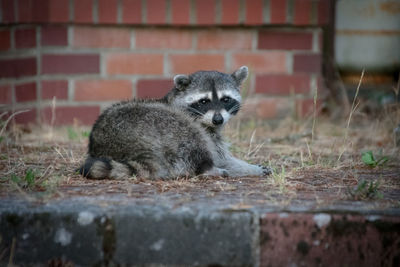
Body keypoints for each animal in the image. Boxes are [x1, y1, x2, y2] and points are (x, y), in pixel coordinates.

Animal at [78, 66, 272, 180]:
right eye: (204, 101)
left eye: (226, 99)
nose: (218, 119)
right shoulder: (201, 127)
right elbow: (220, 157)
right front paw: (247, 168)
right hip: (162, 124)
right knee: (192, 140)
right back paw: (208, 170)